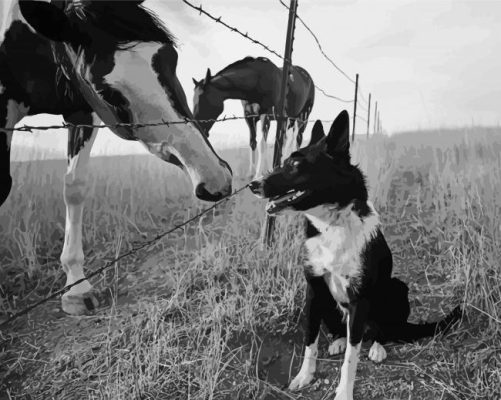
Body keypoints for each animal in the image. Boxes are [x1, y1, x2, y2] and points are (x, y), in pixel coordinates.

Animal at [0, 1, 232, 318]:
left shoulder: (82, 112)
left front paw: (77, 286)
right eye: (106, 91)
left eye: (171, 59)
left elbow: (75, 187)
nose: (215, 180)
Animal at [250, 109, 460, 400]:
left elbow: (351, 358)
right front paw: (304, 376)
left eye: (295, 164)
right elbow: (310, 341)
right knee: (340, 331)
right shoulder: (314, 289)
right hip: (328, 302)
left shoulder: (359, 300)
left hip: (396, 288)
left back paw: (377, 347)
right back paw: (338, 341)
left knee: (381, 331)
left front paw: (344, 392)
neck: (332, 225)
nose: (252, 184)